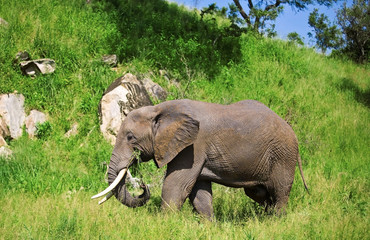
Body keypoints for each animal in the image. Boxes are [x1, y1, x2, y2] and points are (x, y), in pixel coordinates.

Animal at [92, 98, 310, 218]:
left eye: (130, 137)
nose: (143, 186)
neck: (159, 109)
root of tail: (292, 131)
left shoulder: (193, 146)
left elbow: (176, 185)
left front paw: (164, 224)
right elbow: (199, 192)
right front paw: (209, 226)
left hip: (283, 156)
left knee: (280, 191)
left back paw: (275, 221)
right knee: (259, 193)